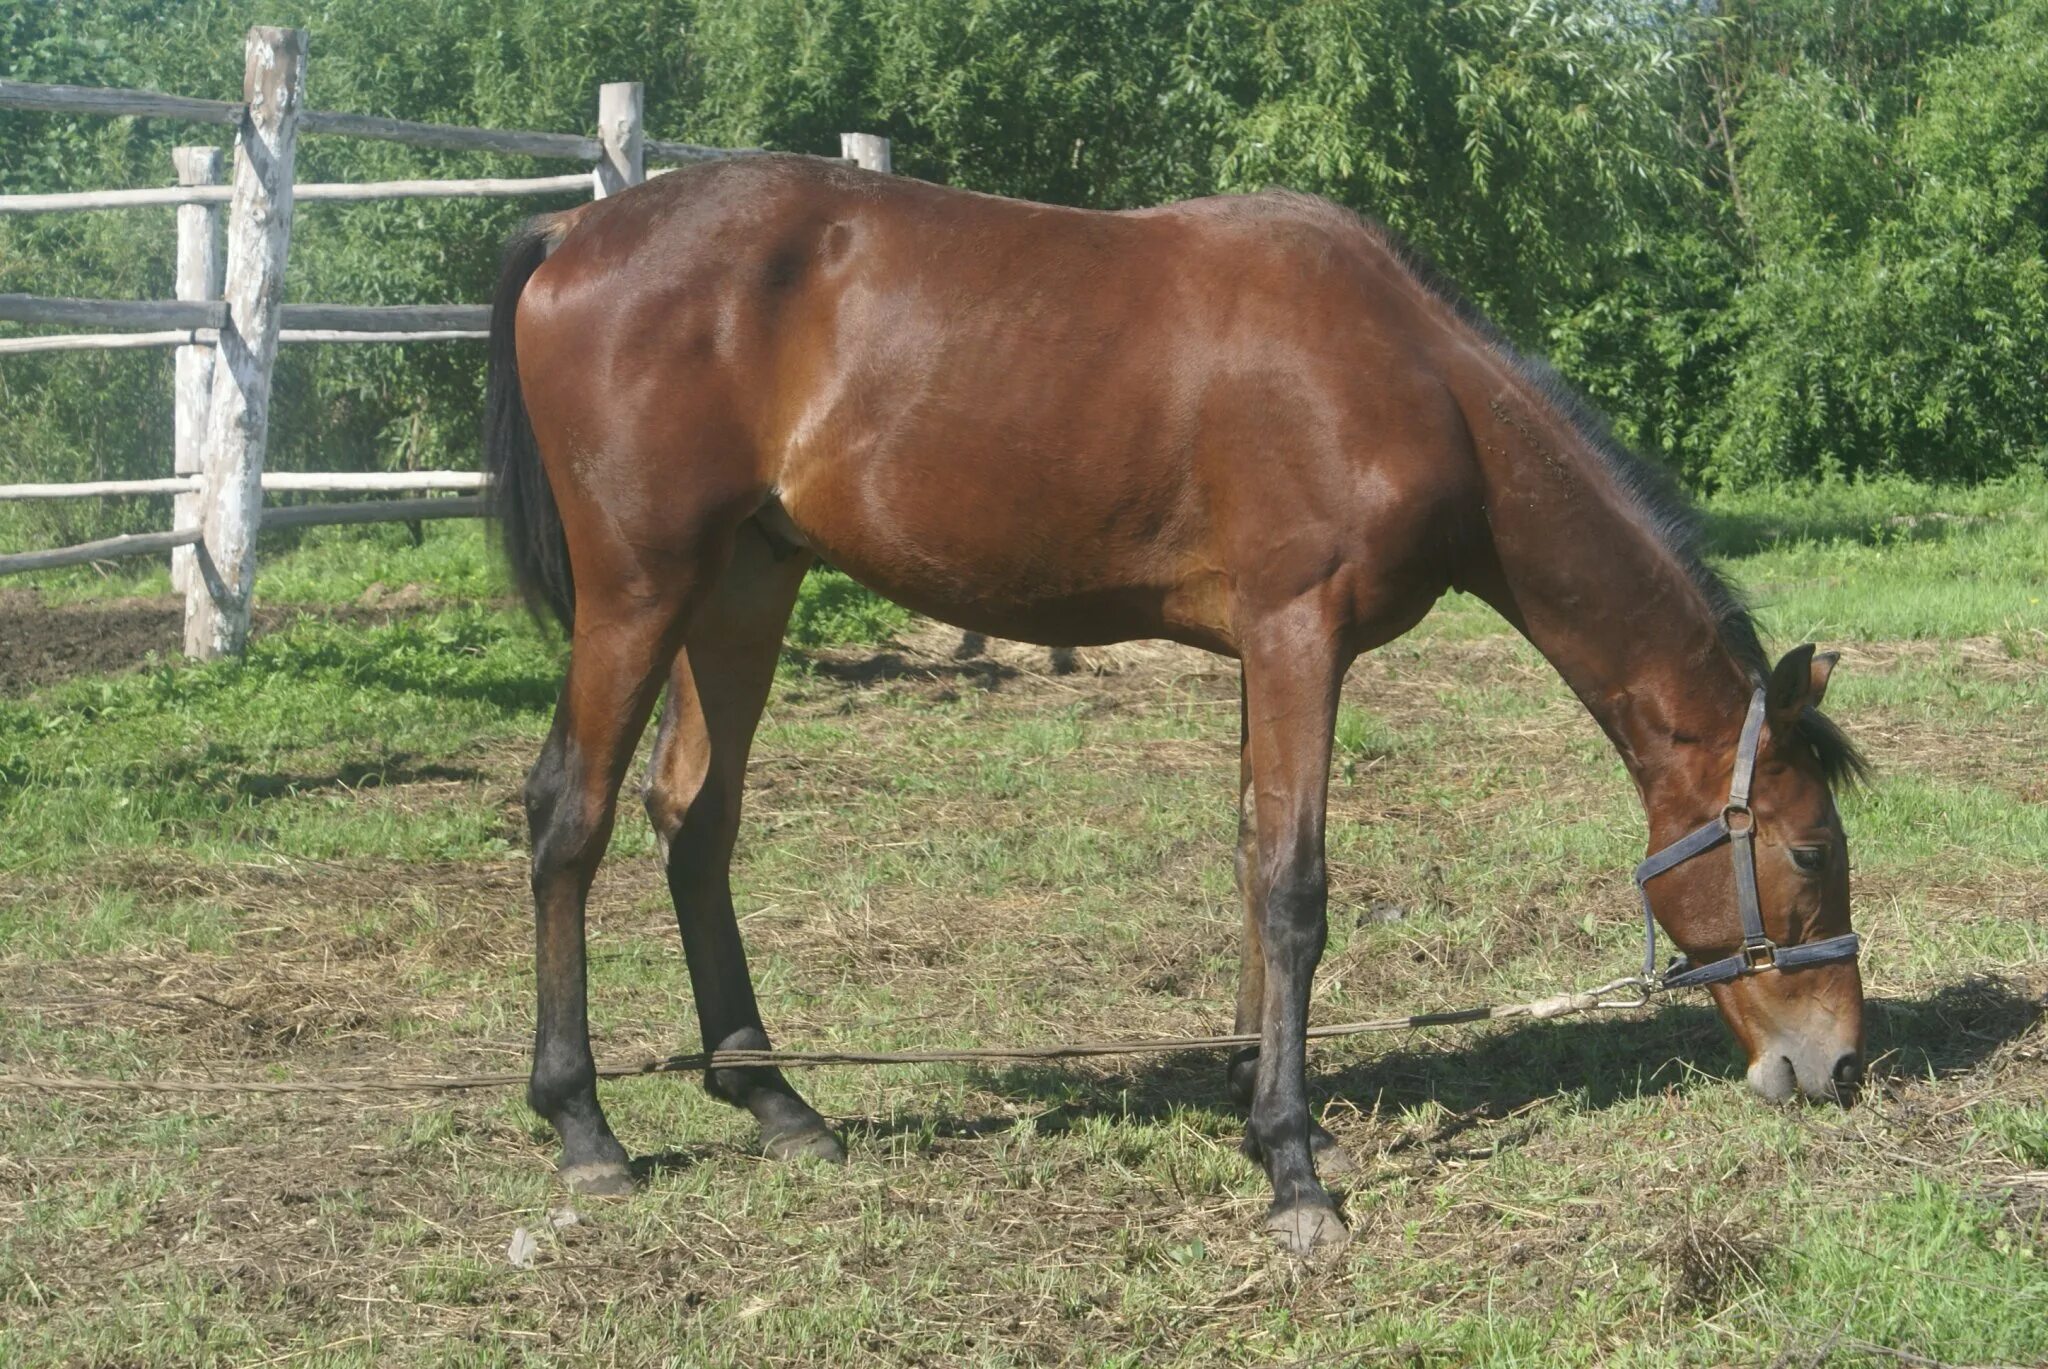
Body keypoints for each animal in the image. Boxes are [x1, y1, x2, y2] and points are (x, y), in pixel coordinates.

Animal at [487, 154, 1867, 1254]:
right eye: (1809, 849)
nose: (1840, 1063)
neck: (1415, 380)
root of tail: (576, 231)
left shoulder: (1266, 649)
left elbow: (1252, 861)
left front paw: (1260, 1102)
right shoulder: (1299, 632)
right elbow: (1295, 887)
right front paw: (1295, 1170)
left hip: (740, 583)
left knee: (695, 818)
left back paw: (775, 1100)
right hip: (641, 587)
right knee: (570, 813)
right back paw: (584, 1126)